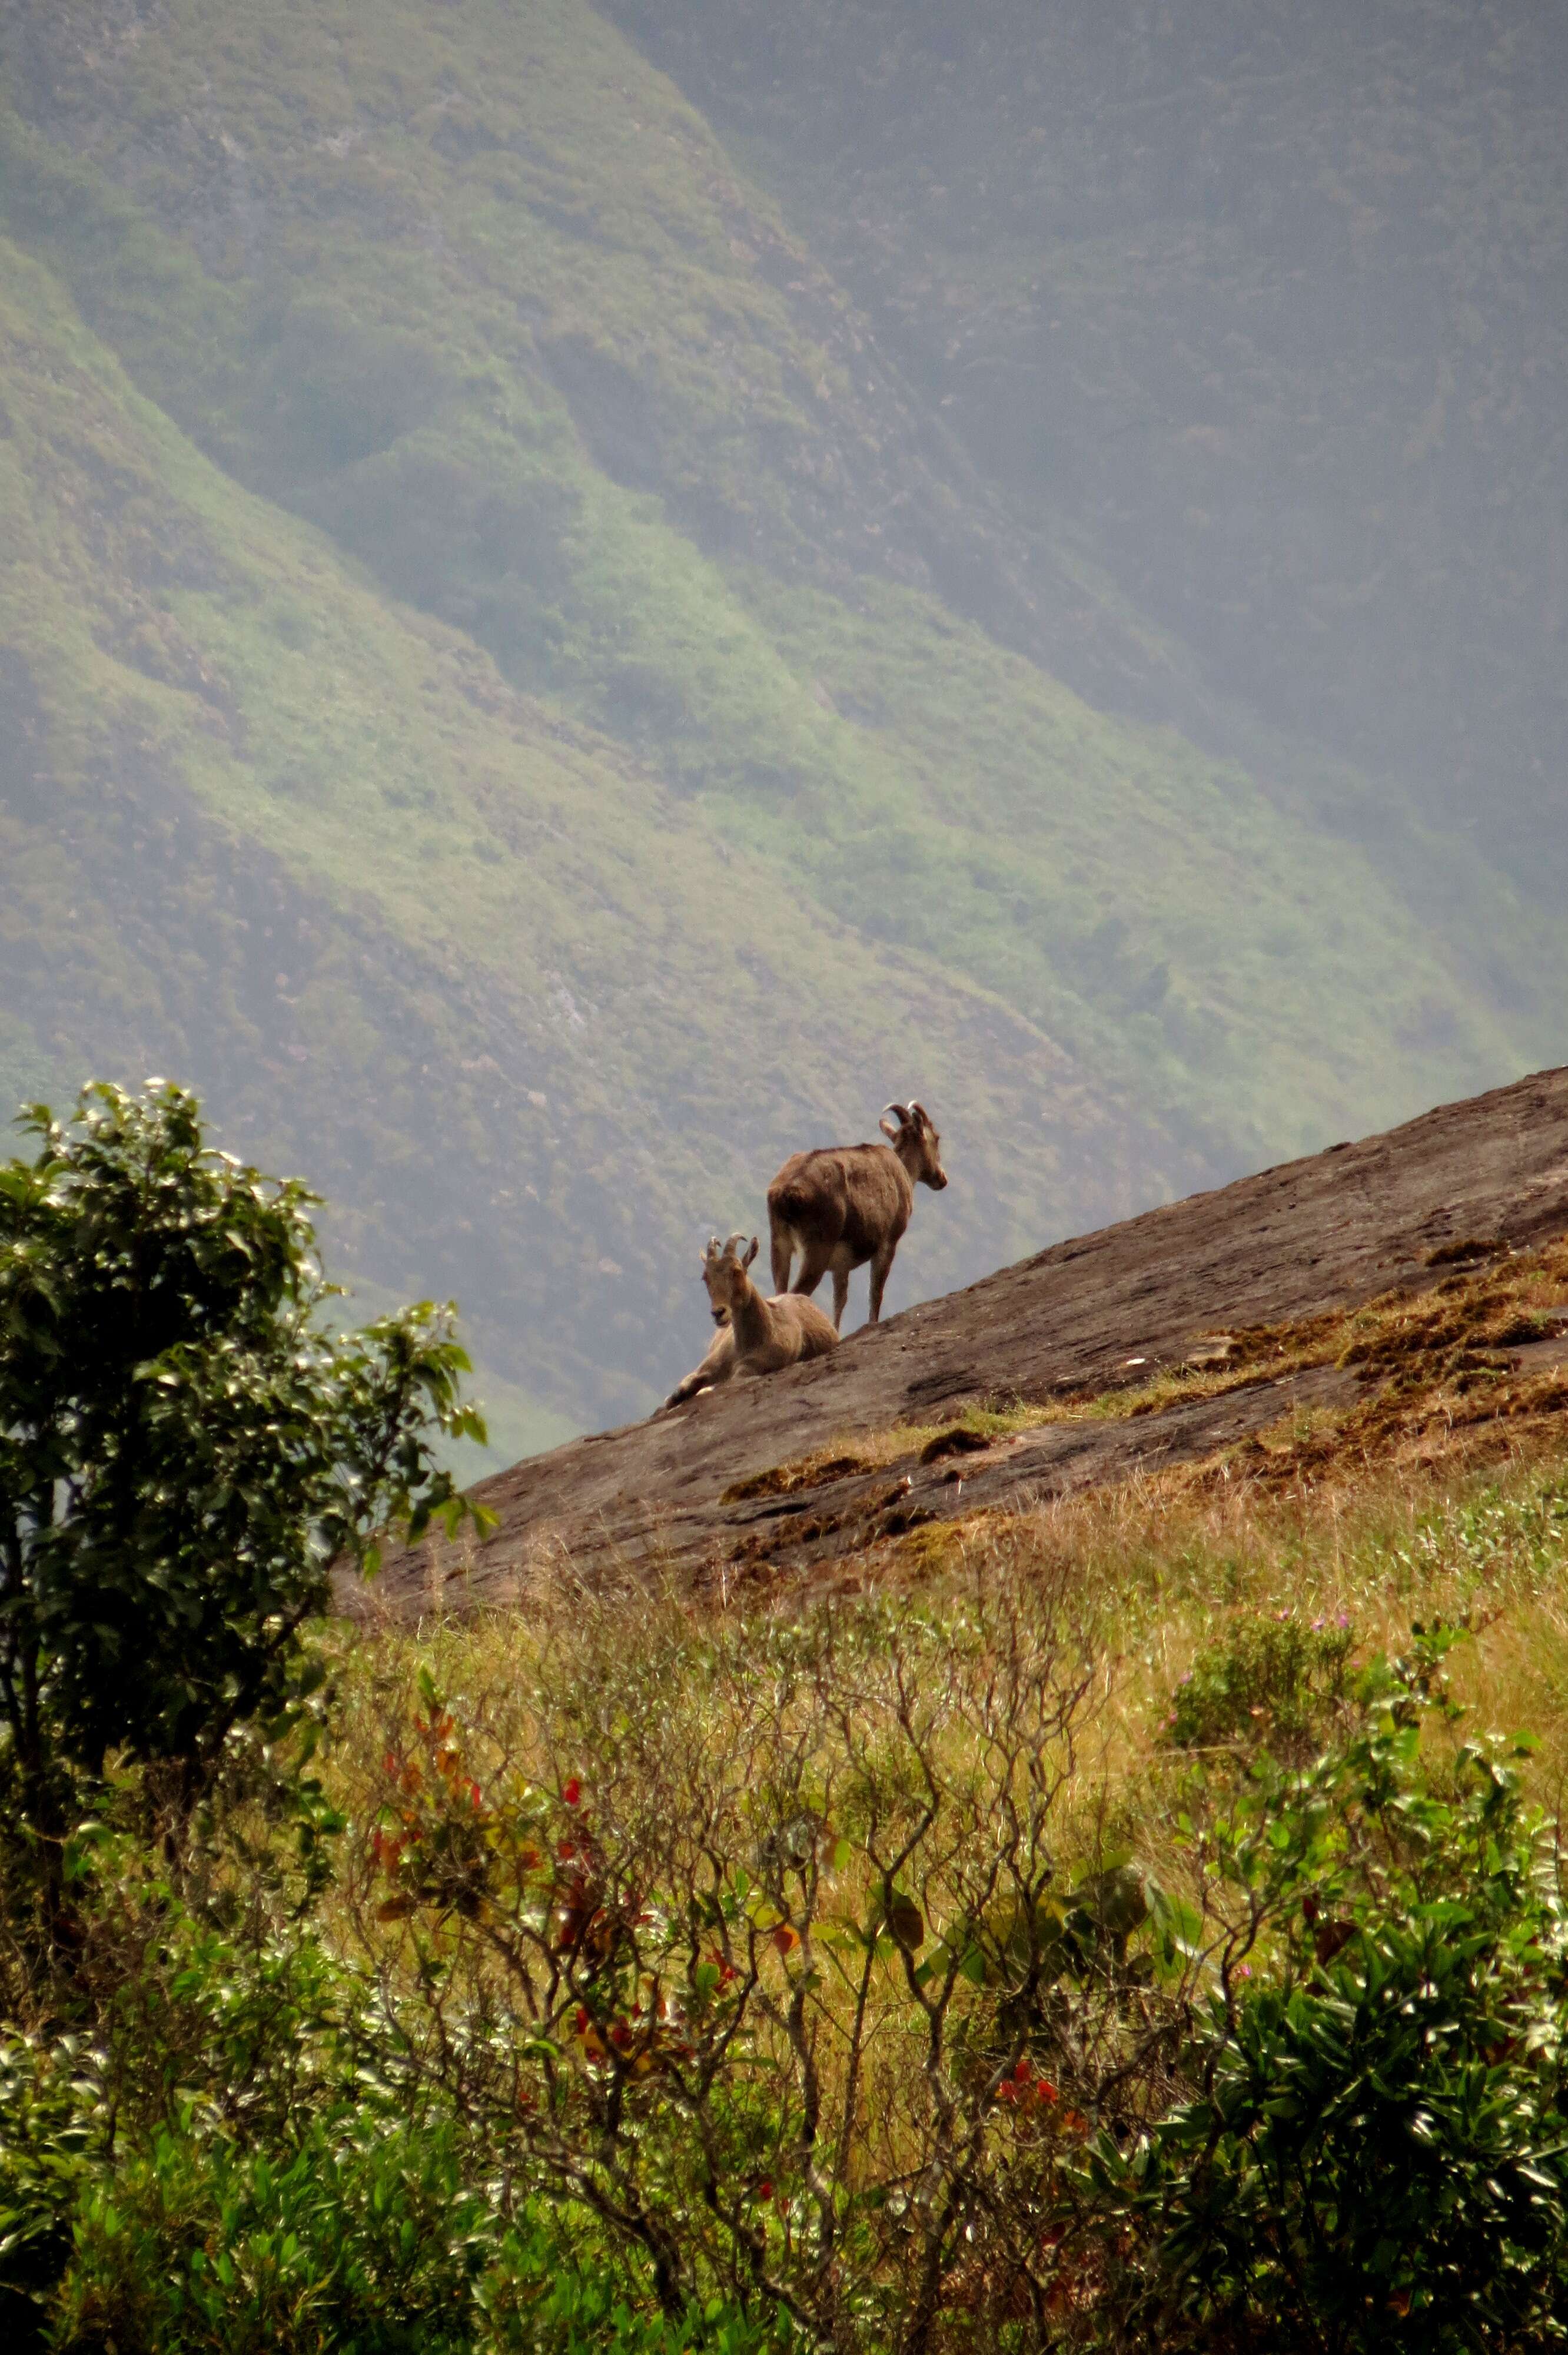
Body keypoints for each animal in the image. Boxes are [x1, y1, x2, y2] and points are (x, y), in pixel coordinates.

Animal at [659, 1243, 838, 1404]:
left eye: (736, 1271)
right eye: (705, 1277)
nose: (718, 1313)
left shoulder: (752, 1368)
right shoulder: (708, 1366)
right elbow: (678, 1394)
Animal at [768, 1097, 946, 1338]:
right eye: (936, 1138)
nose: (942, 1179)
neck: (904, 1173)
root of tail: (789, 1193)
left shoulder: (840, 1264)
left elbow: (840, 1299)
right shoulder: (888, 1242)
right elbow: (876, 1292)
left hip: (780, 1242)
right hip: (816, 1248)